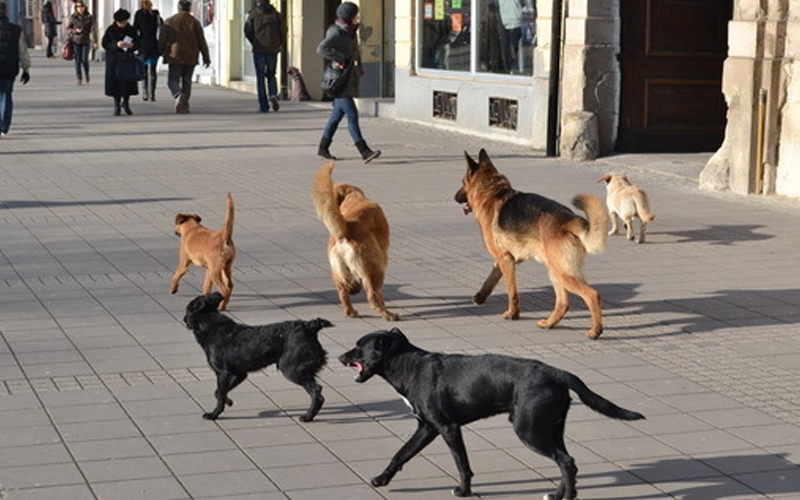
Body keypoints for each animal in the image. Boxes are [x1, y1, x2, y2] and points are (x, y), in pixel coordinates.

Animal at [183, 292, 330, 422]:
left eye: (188, 310)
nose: (184, 319)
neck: (212, 325)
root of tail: (309, 326)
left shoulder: (223, 373)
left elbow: (219, 393)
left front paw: (214, 414)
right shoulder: (239, 374)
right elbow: (219, 392)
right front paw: (228, 401)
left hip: (292, 370)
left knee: (316, 391)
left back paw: (308, 417)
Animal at [312, 162, 400, 322]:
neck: (354, 198)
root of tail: (345, 231)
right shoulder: (382, 254)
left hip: (338, 270)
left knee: (342, 291)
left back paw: (350, 311)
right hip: (375, 268)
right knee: (373, 296)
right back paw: (388, 315)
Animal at [338, 328, 644, 500]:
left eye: (359, 347)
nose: (340, 357)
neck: (409, 366)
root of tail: (556, 372)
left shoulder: (448, 428)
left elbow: (461, 464)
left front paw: (464, 492)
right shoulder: (426, 428)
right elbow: (401, 454)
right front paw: (382, 479)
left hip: (529, 430)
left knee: (567, 462)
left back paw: (567, 497)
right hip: (551, 429)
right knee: (567, 462)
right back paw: (558, 494)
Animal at [454, 148, 608, 340]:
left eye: (463, 182)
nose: (454, 197)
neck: (492, 191)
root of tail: (569, 220)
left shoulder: (505, 260)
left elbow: (512, 292)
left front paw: (512, 314)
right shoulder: (504, 260)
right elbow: (491, 279)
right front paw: (480, 297)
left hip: (562, 272)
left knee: (592, 295)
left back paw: (595, 331)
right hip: (555, 271)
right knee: (563, 303)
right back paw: (549, 323)